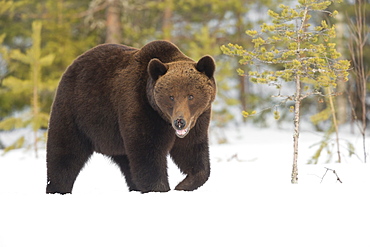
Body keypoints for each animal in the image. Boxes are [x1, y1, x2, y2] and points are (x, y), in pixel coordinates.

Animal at [45, 40, 217, 193]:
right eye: (171, 97)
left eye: (191, 96)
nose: (179, 122)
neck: (162, 117)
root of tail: (72, 65)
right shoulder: (140, 107)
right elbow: (148, 154)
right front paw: (161, 188)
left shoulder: (198, 121)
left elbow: (192, 152)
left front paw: (183, 184)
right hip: (76, 114)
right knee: (64, 154)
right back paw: (57, 188)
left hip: (115, 140)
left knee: (127, 164)